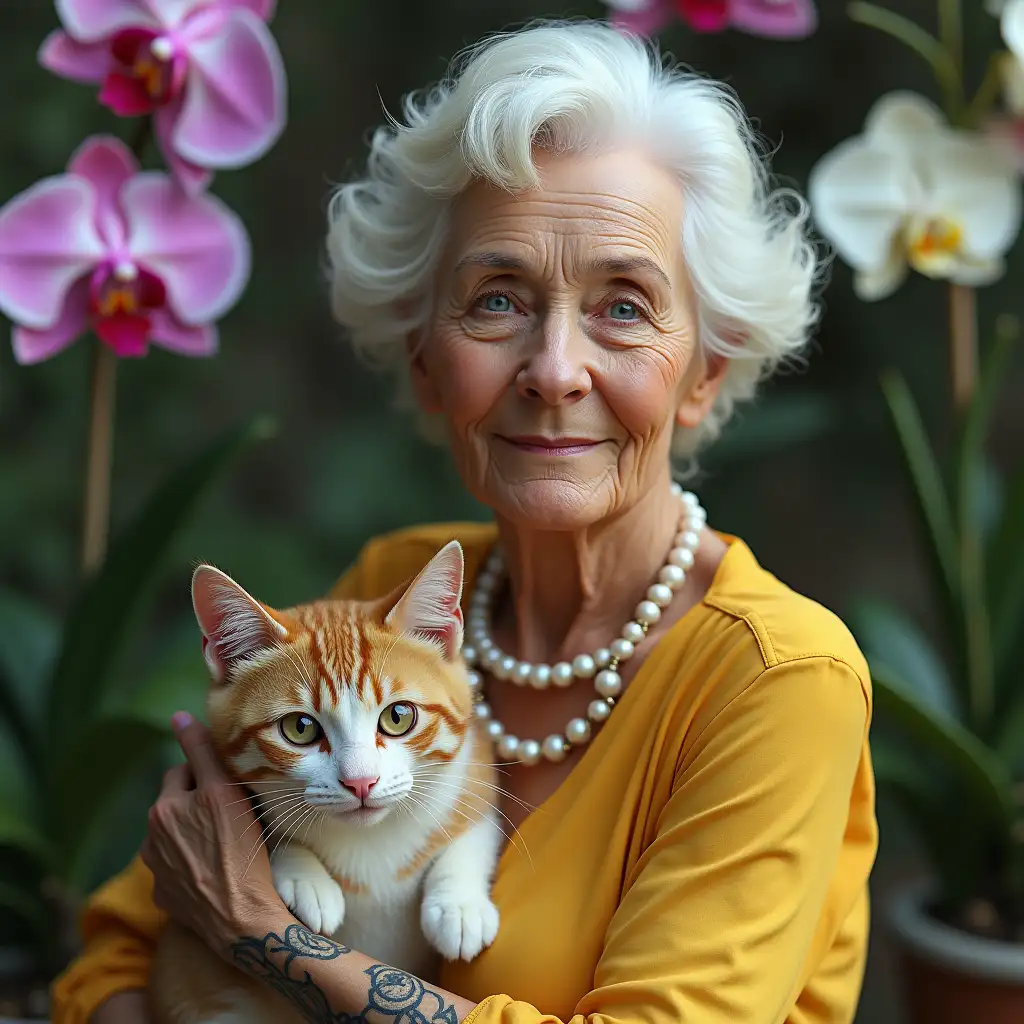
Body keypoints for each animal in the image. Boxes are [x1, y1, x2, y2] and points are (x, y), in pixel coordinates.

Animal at [149, 540, 501, 1019]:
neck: (369, 841)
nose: (361, 782)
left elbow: (477, 823)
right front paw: (305, 877)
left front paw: (459, 904)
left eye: (398, 717)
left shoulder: (476, 761)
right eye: (299, 728)